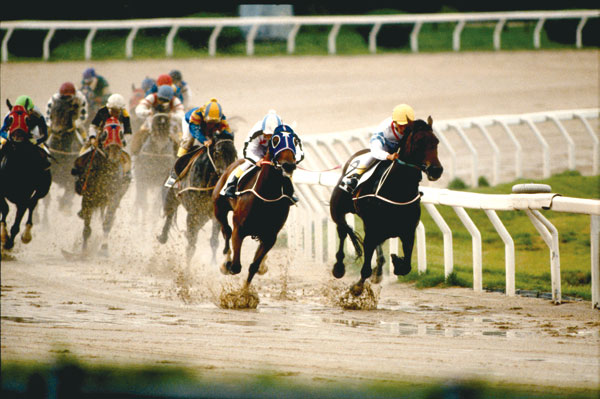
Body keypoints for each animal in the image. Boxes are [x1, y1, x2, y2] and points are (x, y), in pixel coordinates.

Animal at [72, 118, 130, 253]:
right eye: (104, 134)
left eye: (121, 133)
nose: (114, 155)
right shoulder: (88, 196)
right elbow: (87, 227)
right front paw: (83, 250)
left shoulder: (113, 196)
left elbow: (107, 223)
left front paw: (104, 248)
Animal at [158, 134, 238, 262]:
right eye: (217, 152)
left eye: (235, 153)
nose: (228, 174)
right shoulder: (193, 213)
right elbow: (191, 244)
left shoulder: (215, 213)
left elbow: (214, 241)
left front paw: (213, 262)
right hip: (171, 197)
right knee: (169, 215)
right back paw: (163, 237)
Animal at [213, 126, 300, 290]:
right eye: (275, 140)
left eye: (295, 140)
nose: (288, 165)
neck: (266, 195)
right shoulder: (239, 229)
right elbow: (235, 266)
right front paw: (228, 266)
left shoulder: (270, 236)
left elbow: (253, 266)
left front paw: (245, 292)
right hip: (219, 209)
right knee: (226, 231)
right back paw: (225, 261)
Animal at [330, 116, 442, 296]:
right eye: (419, 142)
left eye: (436, 141)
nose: (436, 170)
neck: (398, 190)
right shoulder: (372, 229)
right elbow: (365, 268)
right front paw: (357, 286)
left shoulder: (408, 231)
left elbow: (406, 266)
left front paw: (395, 261)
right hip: (338, 210)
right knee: (342, 231)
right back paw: (339, 267)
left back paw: (379, 269)